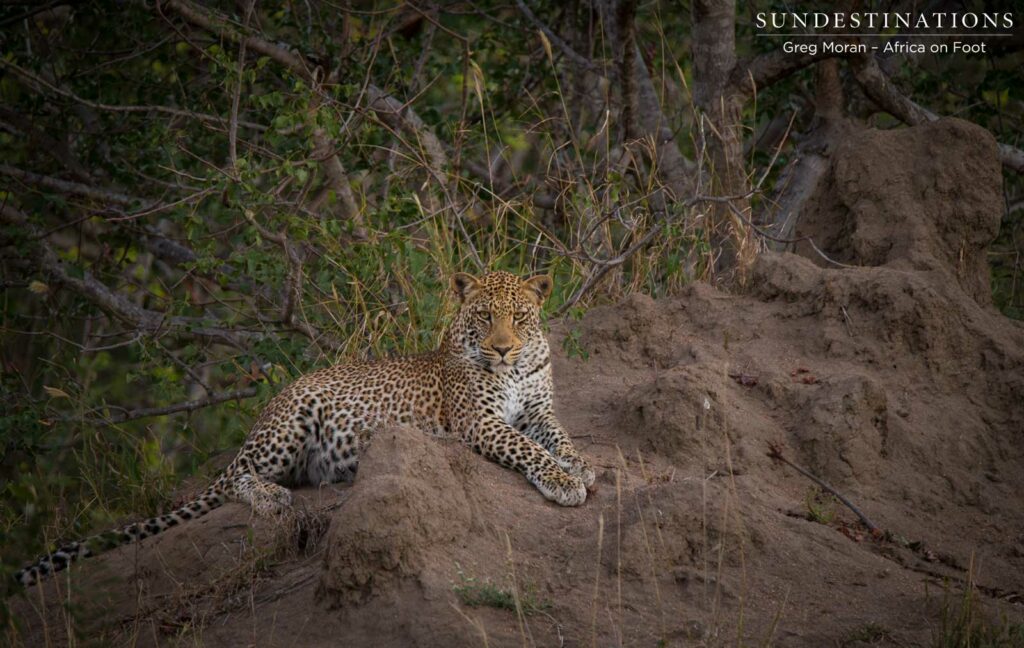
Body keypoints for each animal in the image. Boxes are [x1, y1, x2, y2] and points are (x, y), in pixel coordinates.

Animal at [16, 270, 595, 587]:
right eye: (484, 317)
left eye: (520, 317)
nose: (502, 348)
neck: (516, 369)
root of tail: (269, 406)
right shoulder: (480, 422)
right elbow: (527, 448)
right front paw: (563, 482)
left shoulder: (539, 407)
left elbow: (558, 436)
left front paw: (581, 465)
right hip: (290, 425)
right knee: (237, 477)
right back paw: (271, 498)